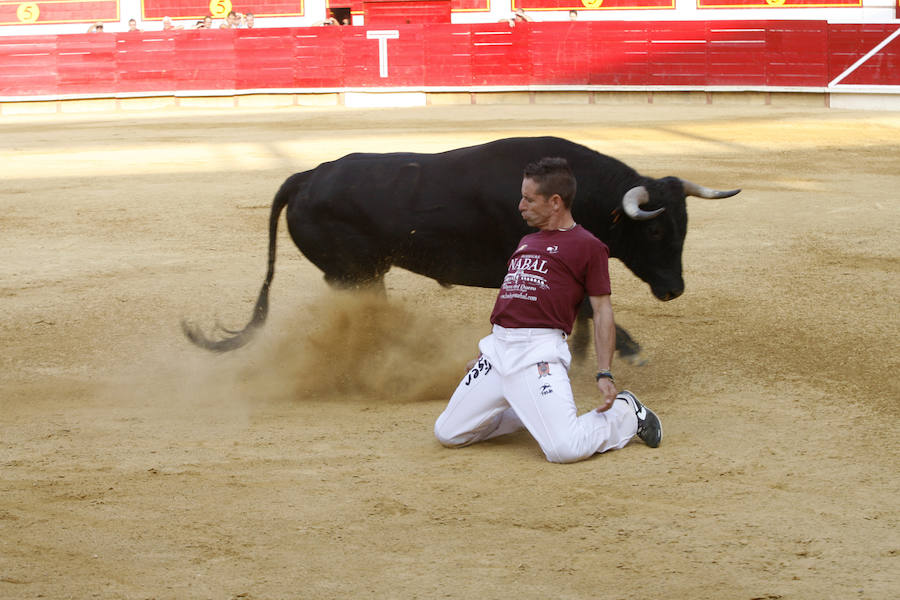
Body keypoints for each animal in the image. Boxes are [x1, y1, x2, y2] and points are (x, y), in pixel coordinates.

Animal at [183, 137, 740, 360]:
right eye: (655, 232)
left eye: (685, 225)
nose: (674, 290)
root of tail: (306, 175)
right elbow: (586, 308)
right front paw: (626, 349)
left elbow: (583, 310)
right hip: (354, 271)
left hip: (360, 273)